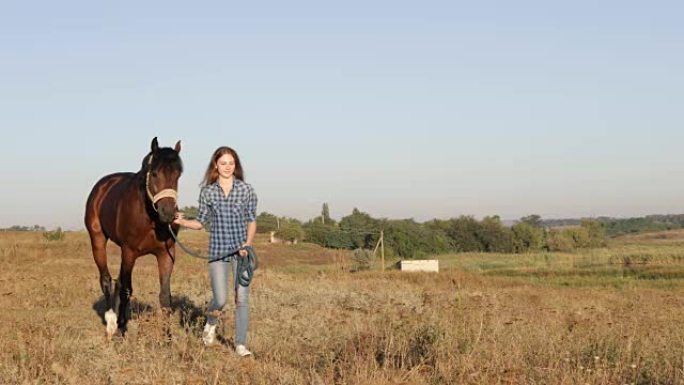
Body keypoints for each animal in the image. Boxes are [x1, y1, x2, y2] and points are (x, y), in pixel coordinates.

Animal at [84, 137, 183, 336]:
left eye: (177, 175)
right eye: (154, 174)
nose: (168, 213)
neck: (150, 219)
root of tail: (102, 186)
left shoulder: (166, 255)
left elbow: (165, 295)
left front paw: (167, 337)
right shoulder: (129, 252)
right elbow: (127, 290)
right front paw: (122, 330)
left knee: (117, 282)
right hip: (98, 240)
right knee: (106, 280)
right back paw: (112, 322)